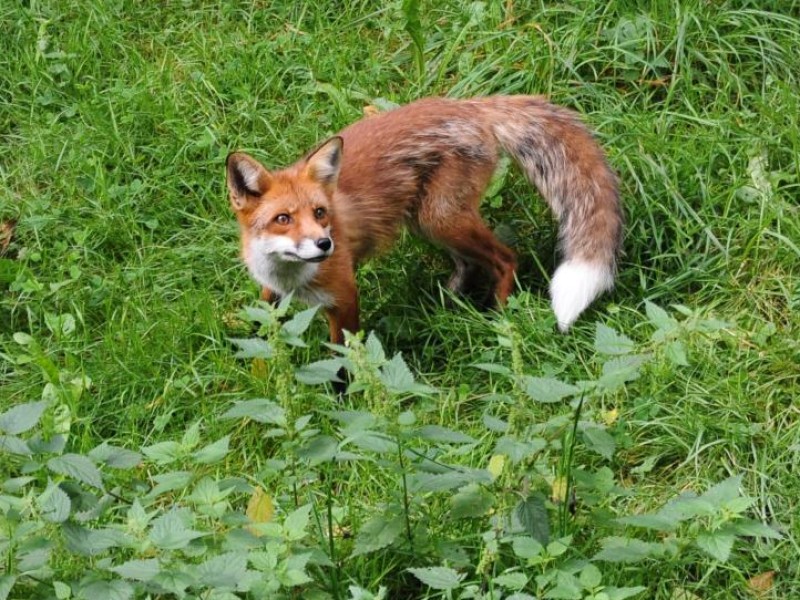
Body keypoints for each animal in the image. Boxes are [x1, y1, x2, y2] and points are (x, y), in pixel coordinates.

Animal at [227, 95, 624, 344]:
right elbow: (263, 333)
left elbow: (343, 360)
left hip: (441, 219)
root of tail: (470, 106)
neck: (290, 277)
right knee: (469, 264)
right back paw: (447, 306)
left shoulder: (344, 298)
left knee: (507, 258)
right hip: (426, 220)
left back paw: (497, 317)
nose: (325, 244)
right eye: (283, 218)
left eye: (320, 213)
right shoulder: (270, 293)